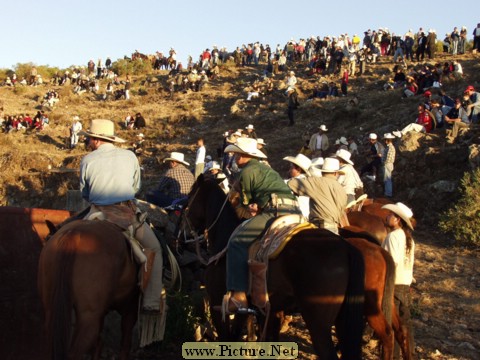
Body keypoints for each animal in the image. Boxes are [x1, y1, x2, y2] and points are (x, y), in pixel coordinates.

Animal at [37, 218, 138, 358]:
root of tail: (74, 235)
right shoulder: (130, 308)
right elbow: (124, 346)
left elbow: (99, 345)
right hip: (89, 317)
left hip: (52, 311)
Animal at [184, 176, 364, 358]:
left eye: (190, 195)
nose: (184, 230)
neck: (224, 237)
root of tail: (346, 248)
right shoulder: (264, 311)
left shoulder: (217, 304)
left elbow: (228, 339)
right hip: (341, 321)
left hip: (318, 325)